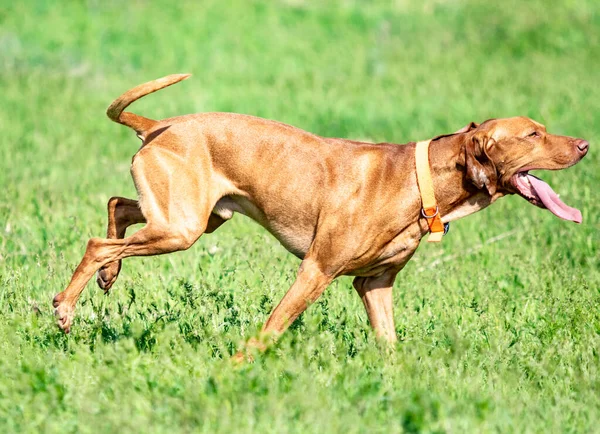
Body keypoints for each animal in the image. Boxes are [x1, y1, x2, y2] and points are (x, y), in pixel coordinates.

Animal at [54, 74, 588, 352]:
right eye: (533, 134)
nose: (585, 144)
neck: (422, 180)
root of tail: (157, 124)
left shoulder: (374, 284)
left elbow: (390, 347)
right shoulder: (317, 269)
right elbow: (270, 330)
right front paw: (234, 372)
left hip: (198, 217)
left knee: (117, 209)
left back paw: (107, 277)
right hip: (182, 228)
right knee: (98, 243)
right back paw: (65, 306)